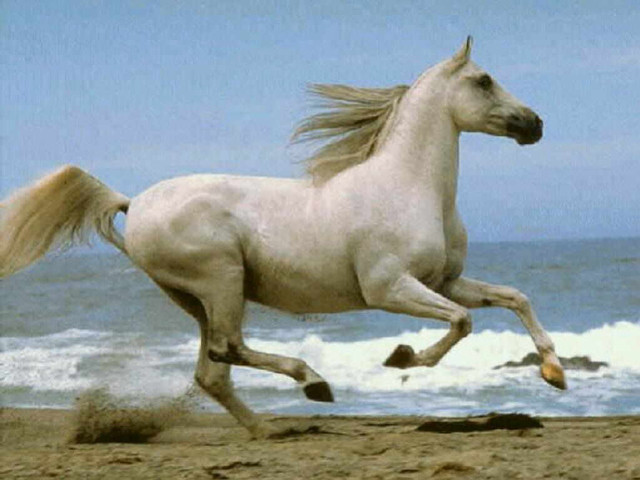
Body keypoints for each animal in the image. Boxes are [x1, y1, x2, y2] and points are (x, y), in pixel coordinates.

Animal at [0, 38, 565, 438]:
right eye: (484, 80)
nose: (535, 124)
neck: (409, 186)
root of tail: (133, 202)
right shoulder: (389, 289)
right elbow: (463, 322)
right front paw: (403, 358)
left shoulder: (444, 281)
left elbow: (514, 298)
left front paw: (554, 372)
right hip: (222, 280)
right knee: (228, 349)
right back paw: (313, 383)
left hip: (195, 298)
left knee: (212, 372)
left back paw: (267, 427)